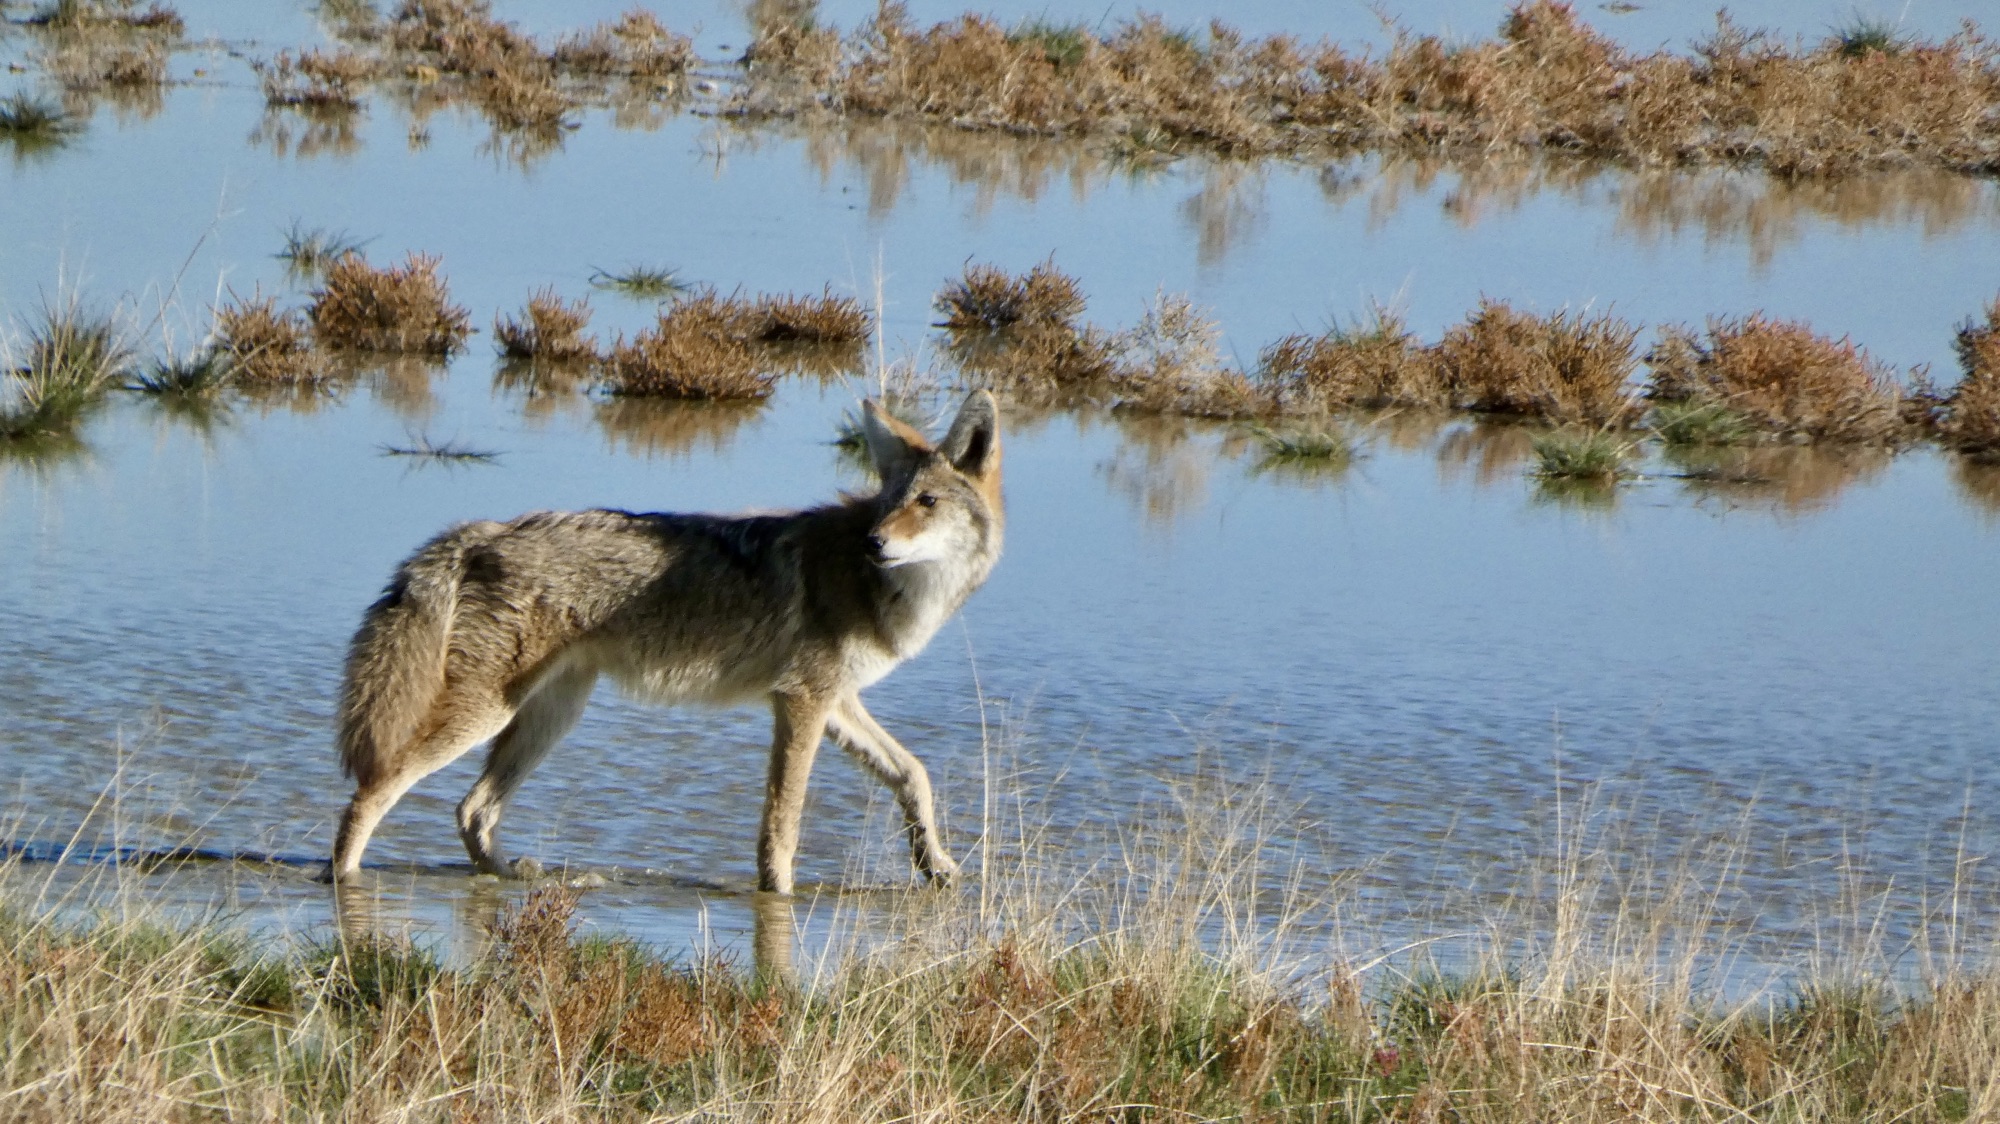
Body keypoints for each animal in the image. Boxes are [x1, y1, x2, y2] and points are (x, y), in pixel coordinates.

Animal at [327, 391, 1003, 894]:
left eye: (927, 502)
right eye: (889, 504)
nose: (874, 542)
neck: (886, 590)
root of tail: (482, 530)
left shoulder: (835, 704)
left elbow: (913, 774)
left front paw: (937, 864)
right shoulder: (802, 702)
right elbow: (782, 822)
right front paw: (778, 896)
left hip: (550, 717)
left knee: (472, 811)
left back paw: (512, 877)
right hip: (484, 714)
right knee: (371, 794)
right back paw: (345, 881)